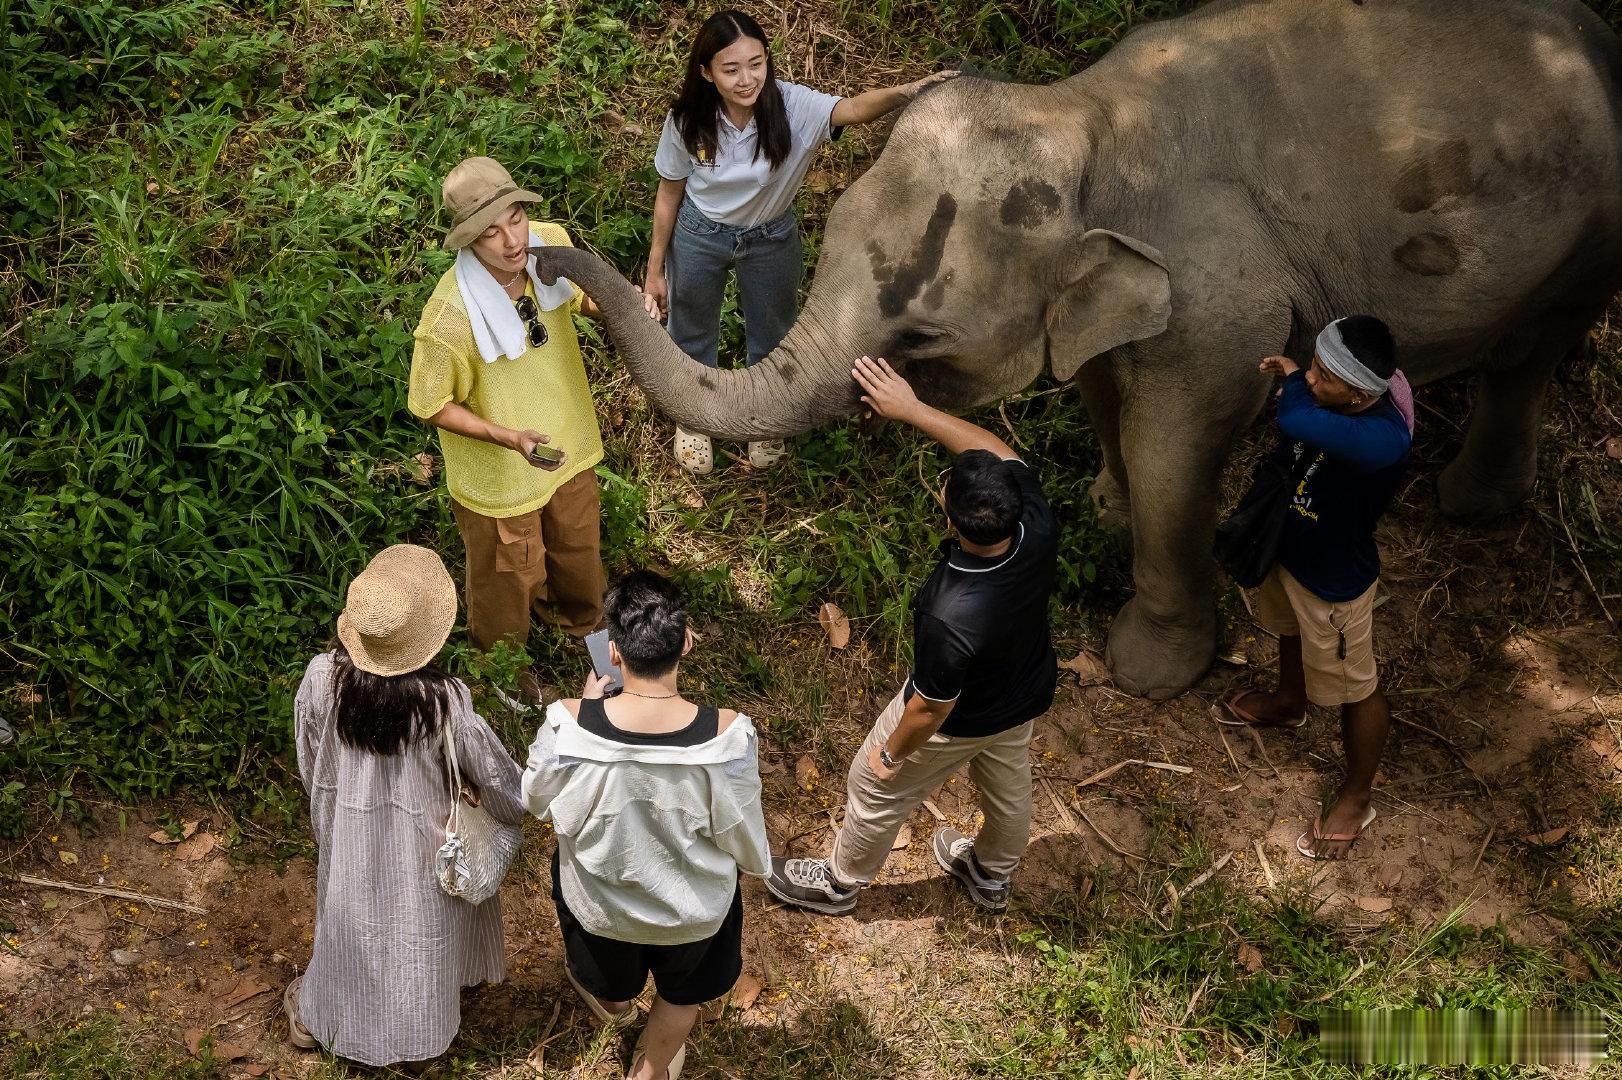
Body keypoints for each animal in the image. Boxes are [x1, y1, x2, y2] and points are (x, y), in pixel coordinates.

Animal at [532, 0, 1622, 697]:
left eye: (918, 333)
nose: (539, 256)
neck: (1086, 115)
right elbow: (1101, 385)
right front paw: (1107, 506)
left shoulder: (1219, 291)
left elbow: (1171, 441)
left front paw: (1149, 671)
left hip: (1592, 236)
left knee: (1532, 351)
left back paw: (1473, 504)